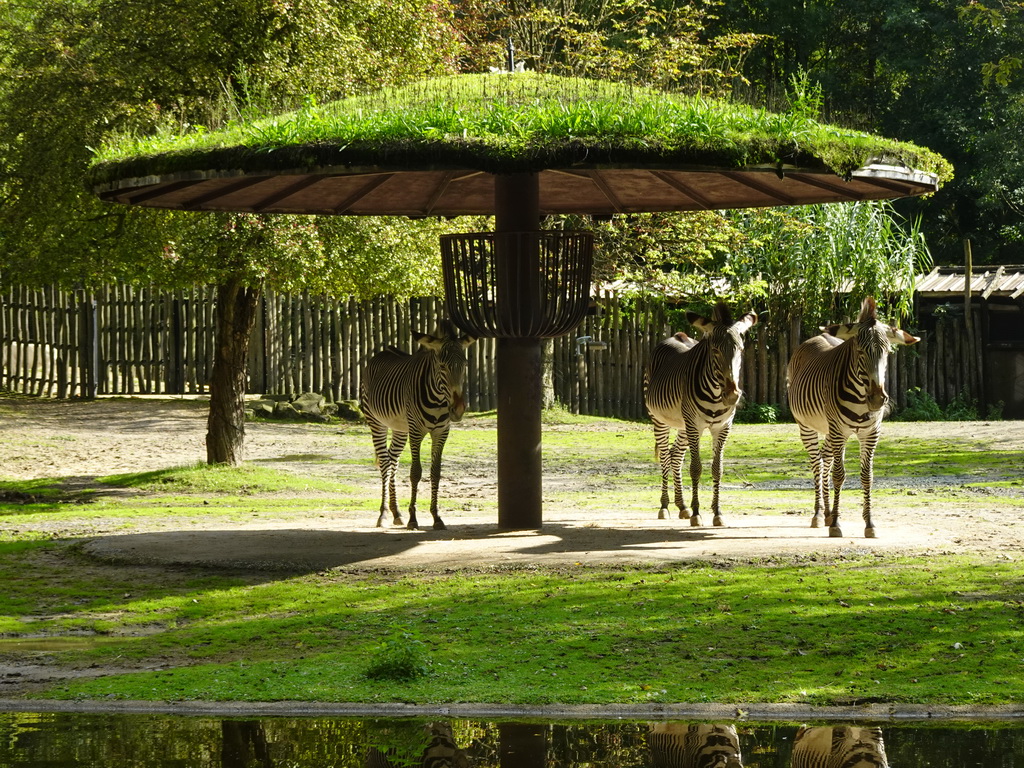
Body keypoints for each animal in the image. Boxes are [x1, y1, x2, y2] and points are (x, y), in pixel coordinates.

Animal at [360, 321, 475, 532]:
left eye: (464, 365)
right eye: (442, 366)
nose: (458, 409)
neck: (438, 399)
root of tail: (384, 351)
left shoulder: (441, 432)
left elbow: (435, 473)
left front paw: (437, 517)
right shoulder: (416, 431)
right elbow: (416, 473)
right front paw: (413, 519)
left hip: (399, 428)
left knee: (393, 461)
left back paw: (396, 512)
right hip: (376, 423)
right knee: (385, 462)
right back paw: (383, 514)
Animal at [643, 303, 757, 528]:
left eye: (740, 350)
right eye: (715, 351)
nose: (732, 396)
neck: (715, 393)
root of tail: (676, 335)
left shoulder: (723, 427)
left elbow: (717, 469)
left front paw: (717, 512)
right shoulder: (694, 425)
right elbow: (696, 468)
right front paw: (697, 513)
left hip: (683, 425)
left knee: (675, 456)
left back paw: (681, 506)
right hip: (660, 420)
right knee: (665, 458)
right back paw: (665, 506)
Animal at [782, 296, 921, 536]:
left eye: (887, 352)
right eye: (860, 351)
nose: (877, 400)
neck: (860, 398)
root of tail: (817, 337)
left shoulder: (871, 433)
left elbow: (867, 476)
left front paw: (869, 523)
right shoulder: (840, 431)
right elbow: (839, 474)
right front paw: (837, 524)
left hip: (830, 430)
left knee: (826, 459)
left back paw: (828, 513)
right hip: (808, 427)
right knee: (818, 464)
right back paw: (819, 515)